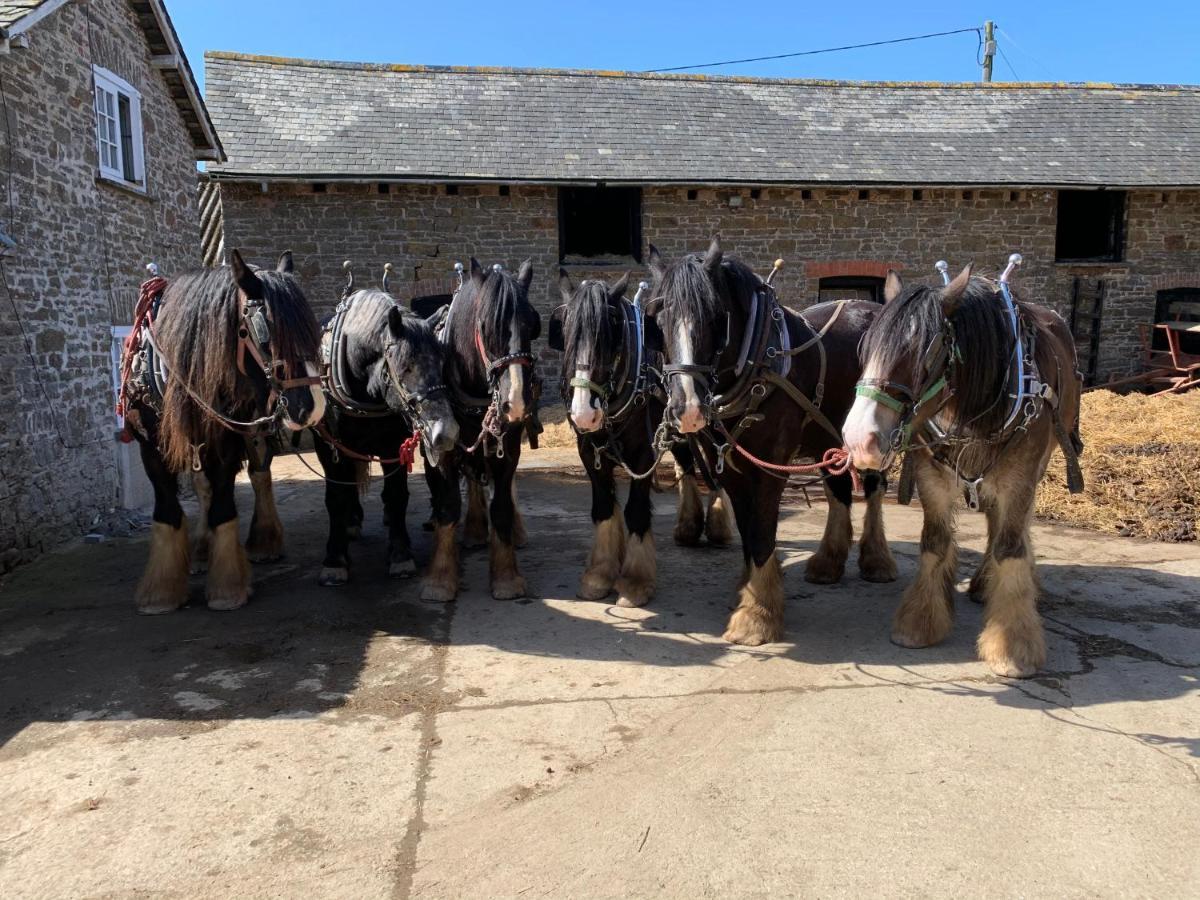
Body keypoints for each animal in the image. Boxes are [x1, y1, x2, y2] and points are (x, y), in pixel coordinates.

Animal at [120, 250, 324, 619]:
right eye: (265, 332)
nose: (312, 407)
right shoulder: (150, 444)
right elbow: (169, 508)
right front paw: (161, 591)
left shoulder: (228, 440)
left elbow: (224, 504)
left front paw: (227, 586)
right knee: (203, 486)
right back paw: (202, 548)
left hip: (253, 428)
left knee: (259, 474)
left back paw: (264, 540)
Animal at [417, 256, 540, 602]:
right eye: (485, 327)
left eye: (532, 326)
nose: (516, 402)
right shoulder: (441, 446)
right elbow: (447, 504)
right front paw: (440, 578)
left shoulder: (507, 445)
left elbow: (501, 504)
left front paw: (506, 577)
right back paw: (471, 530)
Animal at [549, 264, 729, 609]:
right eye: (566, 330)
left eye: (610, 333)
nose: (584, 413)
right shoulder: (589, 451)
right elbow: (604, 506)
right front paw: (599, 574)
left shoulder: (644, 453)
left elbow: (635, 511)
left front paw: (635, 583)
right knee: (687, 463)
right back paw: (688, 526)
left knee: (713, 467)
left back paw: (718, 525)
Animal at [648, 240, 892, 648]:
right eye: (659, 319)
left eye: (716, 317)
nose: (688, 408)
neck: (760, 357)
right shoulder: (731, 468)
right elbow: (748, 532)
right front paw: (750, 591)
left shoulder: (770, 467)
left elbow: (763, 534)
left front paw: (756, 617)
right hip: (828, 437)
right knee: (839, 489)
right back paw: (828, 562)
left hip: (869, 434)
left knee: (873, 488)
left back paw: (877, 561)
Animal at [844, 259, 1089, 676]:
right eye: (866, 350)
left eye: (923, 354)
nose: (860, 440)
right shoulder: (931, 478)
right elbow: (934, 542)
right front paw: (921, 620)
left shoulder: (1019, 478)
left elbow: (1010, 547)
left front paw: (1012, 643)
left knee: (1011, 528)